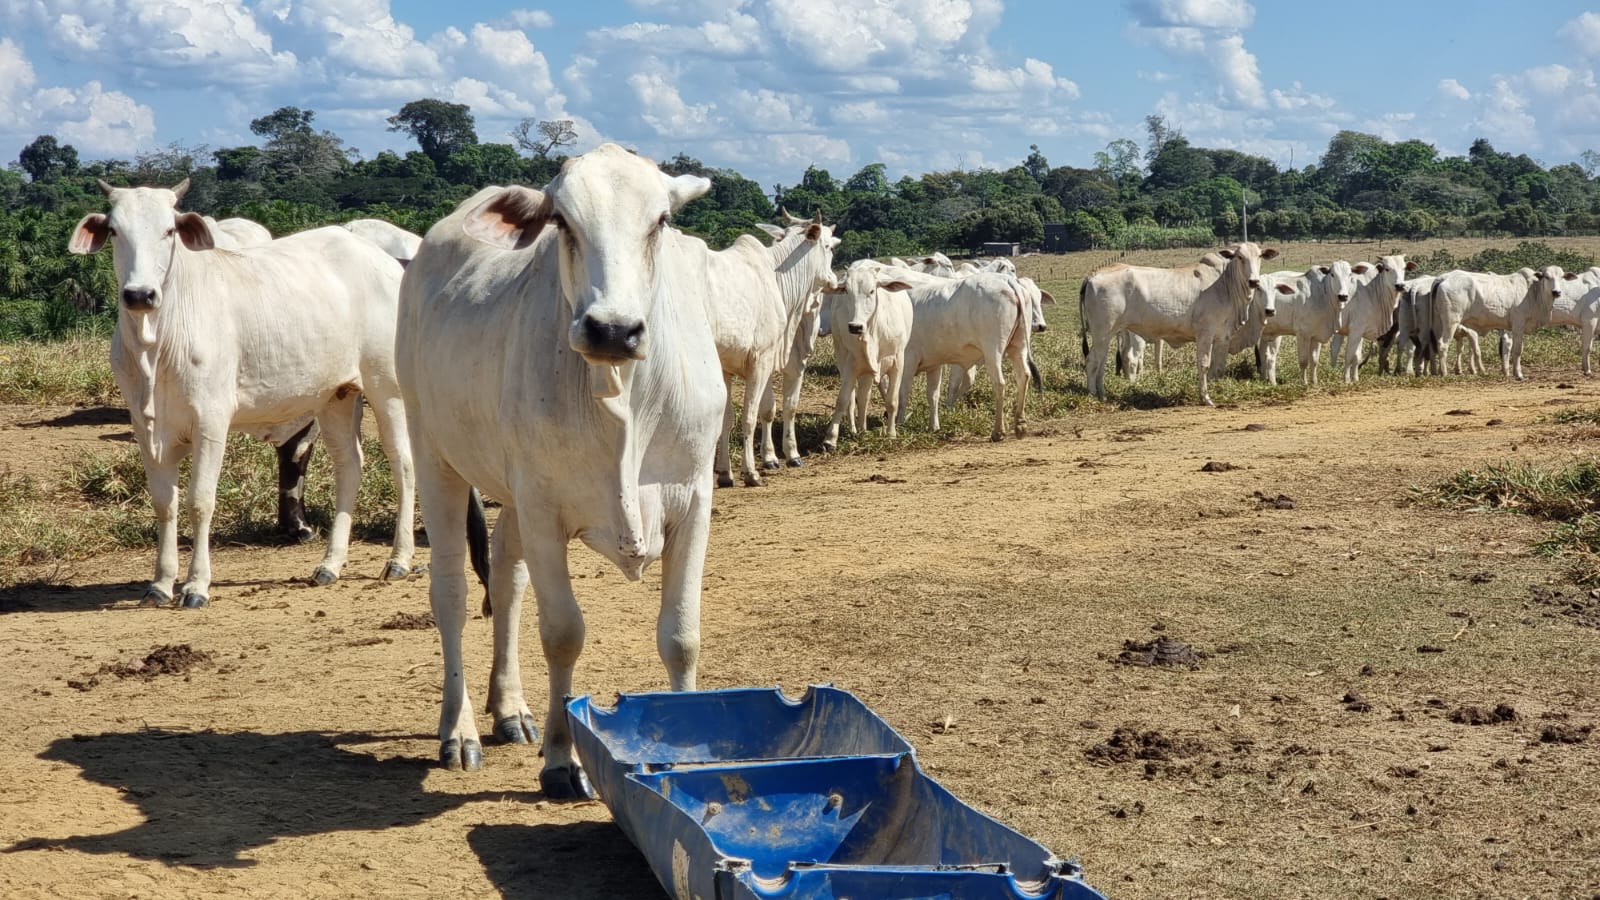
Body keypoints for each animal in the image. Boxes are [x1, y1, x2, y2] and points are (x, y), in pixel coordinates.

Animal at [68, 178, 419, 605]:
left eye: (169, 230)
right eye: (116, 231)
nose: (140, 295)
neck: (158, 343)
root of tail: (388, 264)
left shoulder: (210, 421)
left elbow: (200, 502)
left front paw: (197, 585)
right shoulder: (145, 427)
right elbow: (164, 504)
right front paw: (160, 583)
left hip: (388, 389)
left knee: (403, 464)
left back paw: (399, 558)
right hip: (336, 396)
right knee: (349, 467)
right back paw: (330, 564)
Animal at [396, 141, 729, 791]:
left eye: (660, 221)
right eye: (563, 223)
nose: (613, 329)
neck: (622, 393)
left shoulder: (694, 499)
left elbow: (682, 634)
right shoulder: (546, 511)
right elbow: (563, 634)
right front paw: (558, 760)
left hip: (512, 490)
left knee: (505, 573)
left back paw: (510, 709)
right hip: (434, 452)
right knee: (450, 591)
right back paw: (460, 730)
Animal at [1081, 241, 1280, 403]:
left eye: (1259, 256)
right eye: (1239, 257)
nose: (1253, 281)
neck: (1225, 284)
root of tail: (1093, 275)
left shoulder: (1222, 336)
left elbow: (1218, 368)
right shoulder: (1205, 332)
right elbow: (1204, 364)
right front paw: (1205, 398)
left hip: (1109, 334)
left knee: (1101, 362)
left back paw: (1102, 395)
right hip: (1101, 333)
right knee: (1091, 361)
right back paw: (1092, 395)